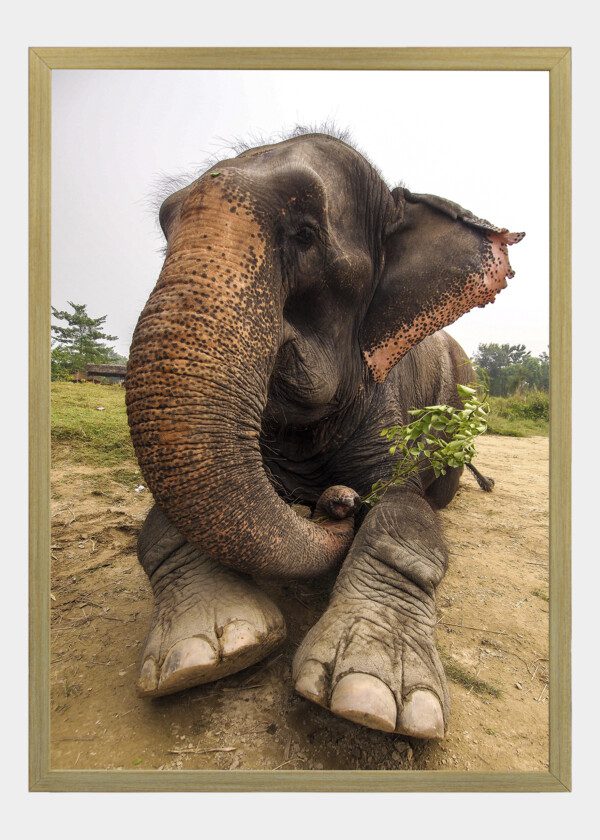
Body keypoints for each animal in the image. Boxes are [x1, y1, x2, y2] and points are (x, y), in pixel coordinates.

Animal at [125, 130, 523, 739]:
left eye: (306, 235)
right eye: (166, 232)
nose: (335, 502)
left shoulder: (388, 405)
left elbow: (404, 513)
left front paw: (374, 696)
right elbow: (159, 525)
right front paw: (204, 654)